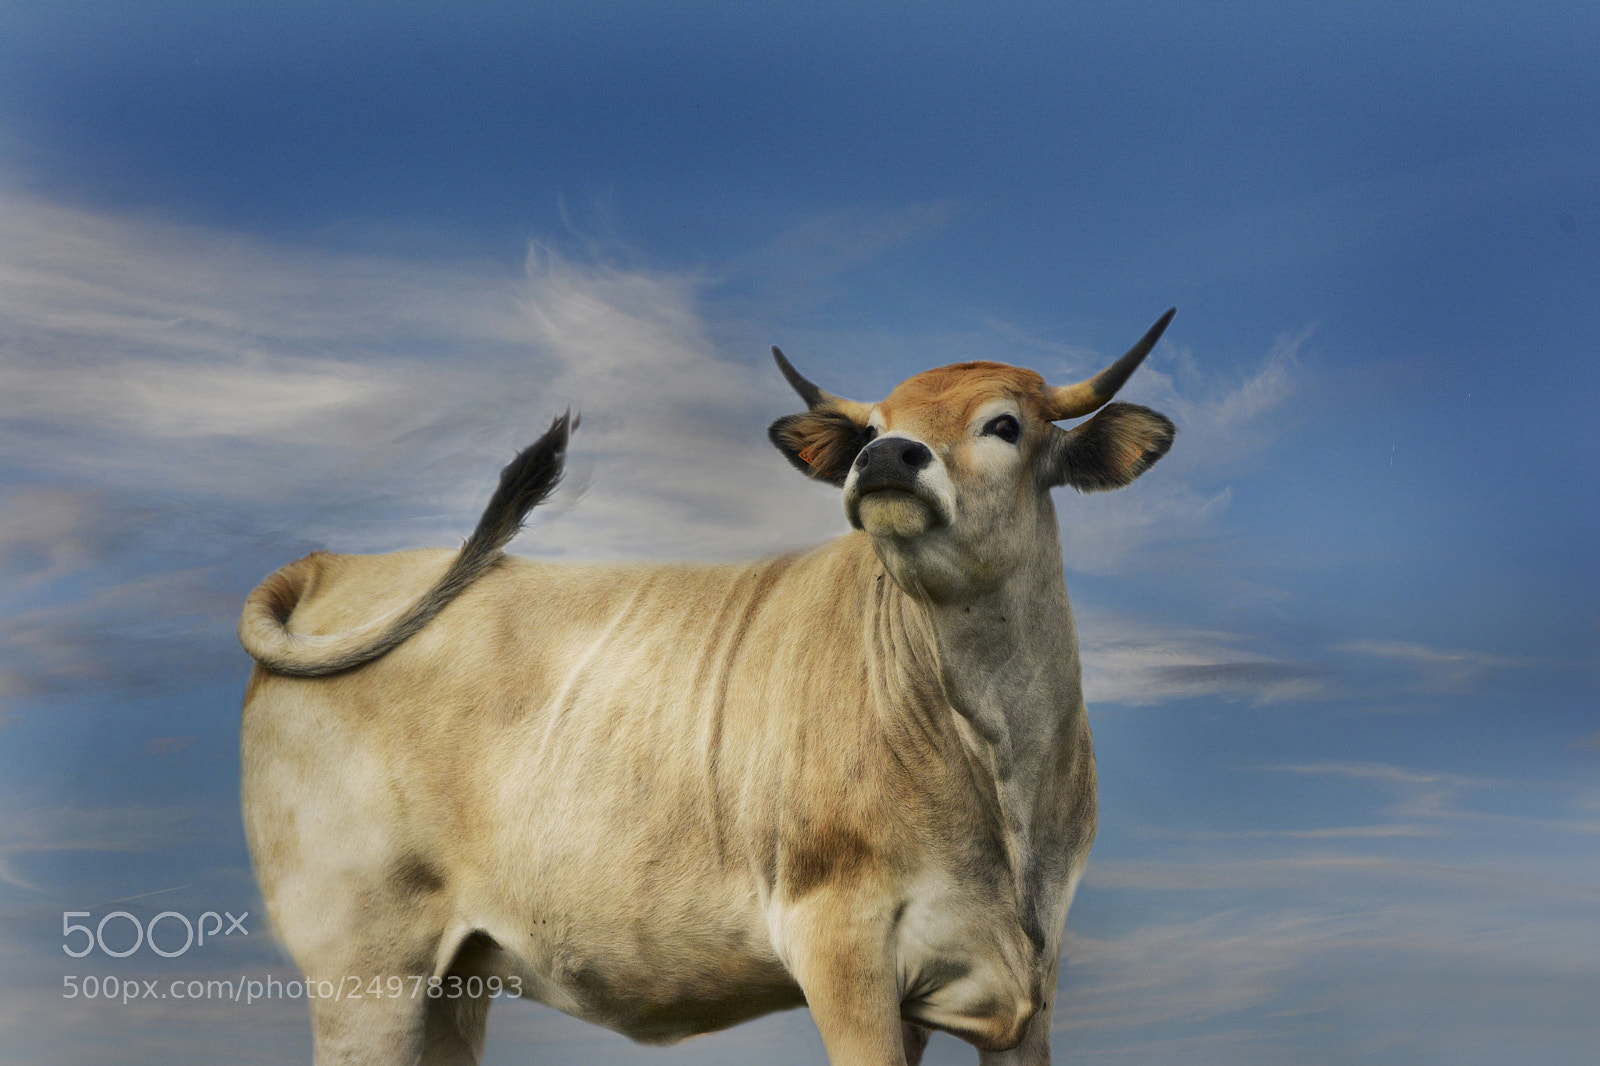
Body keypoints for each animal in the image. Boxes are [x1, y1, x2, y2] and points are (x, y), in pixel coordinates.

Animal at [238, 309, 1177, 1066]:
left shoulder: (1026, 984)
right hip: (363, 968)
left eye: (1004, 425)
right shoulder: (842, 948)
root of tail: (332, 563)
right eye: (876, 424)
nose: (885, 456)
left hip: (452, 984)